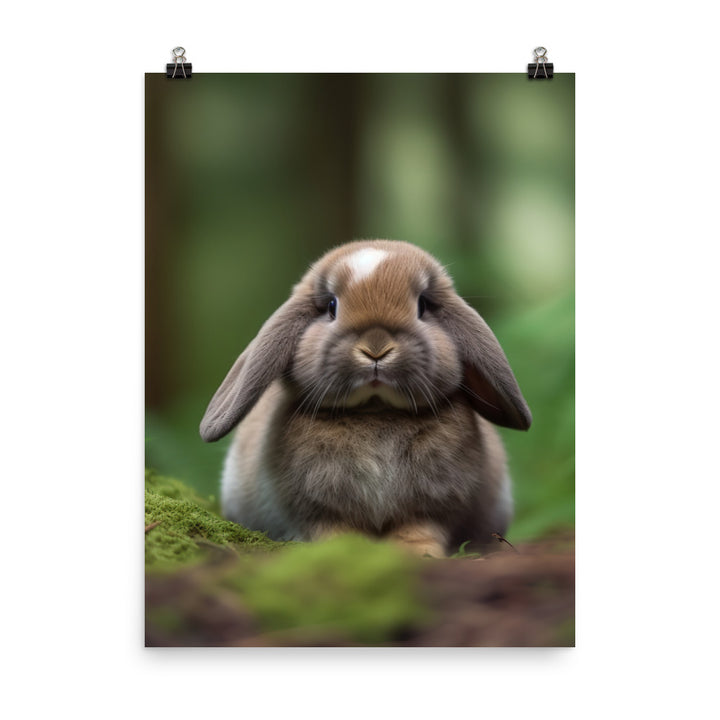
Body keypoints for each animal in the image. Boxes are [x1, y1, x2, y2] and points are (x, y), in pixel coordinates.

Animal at [200, 240, 531, 557]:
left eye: (423, 305)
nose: (376, 347)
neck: (376, 412)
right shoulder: (316, 508)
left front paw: (419, 553)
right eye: (331, 306)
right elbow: (334, 530)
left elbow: (419, 528)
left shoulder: (435, 502)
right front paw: (344, 551)